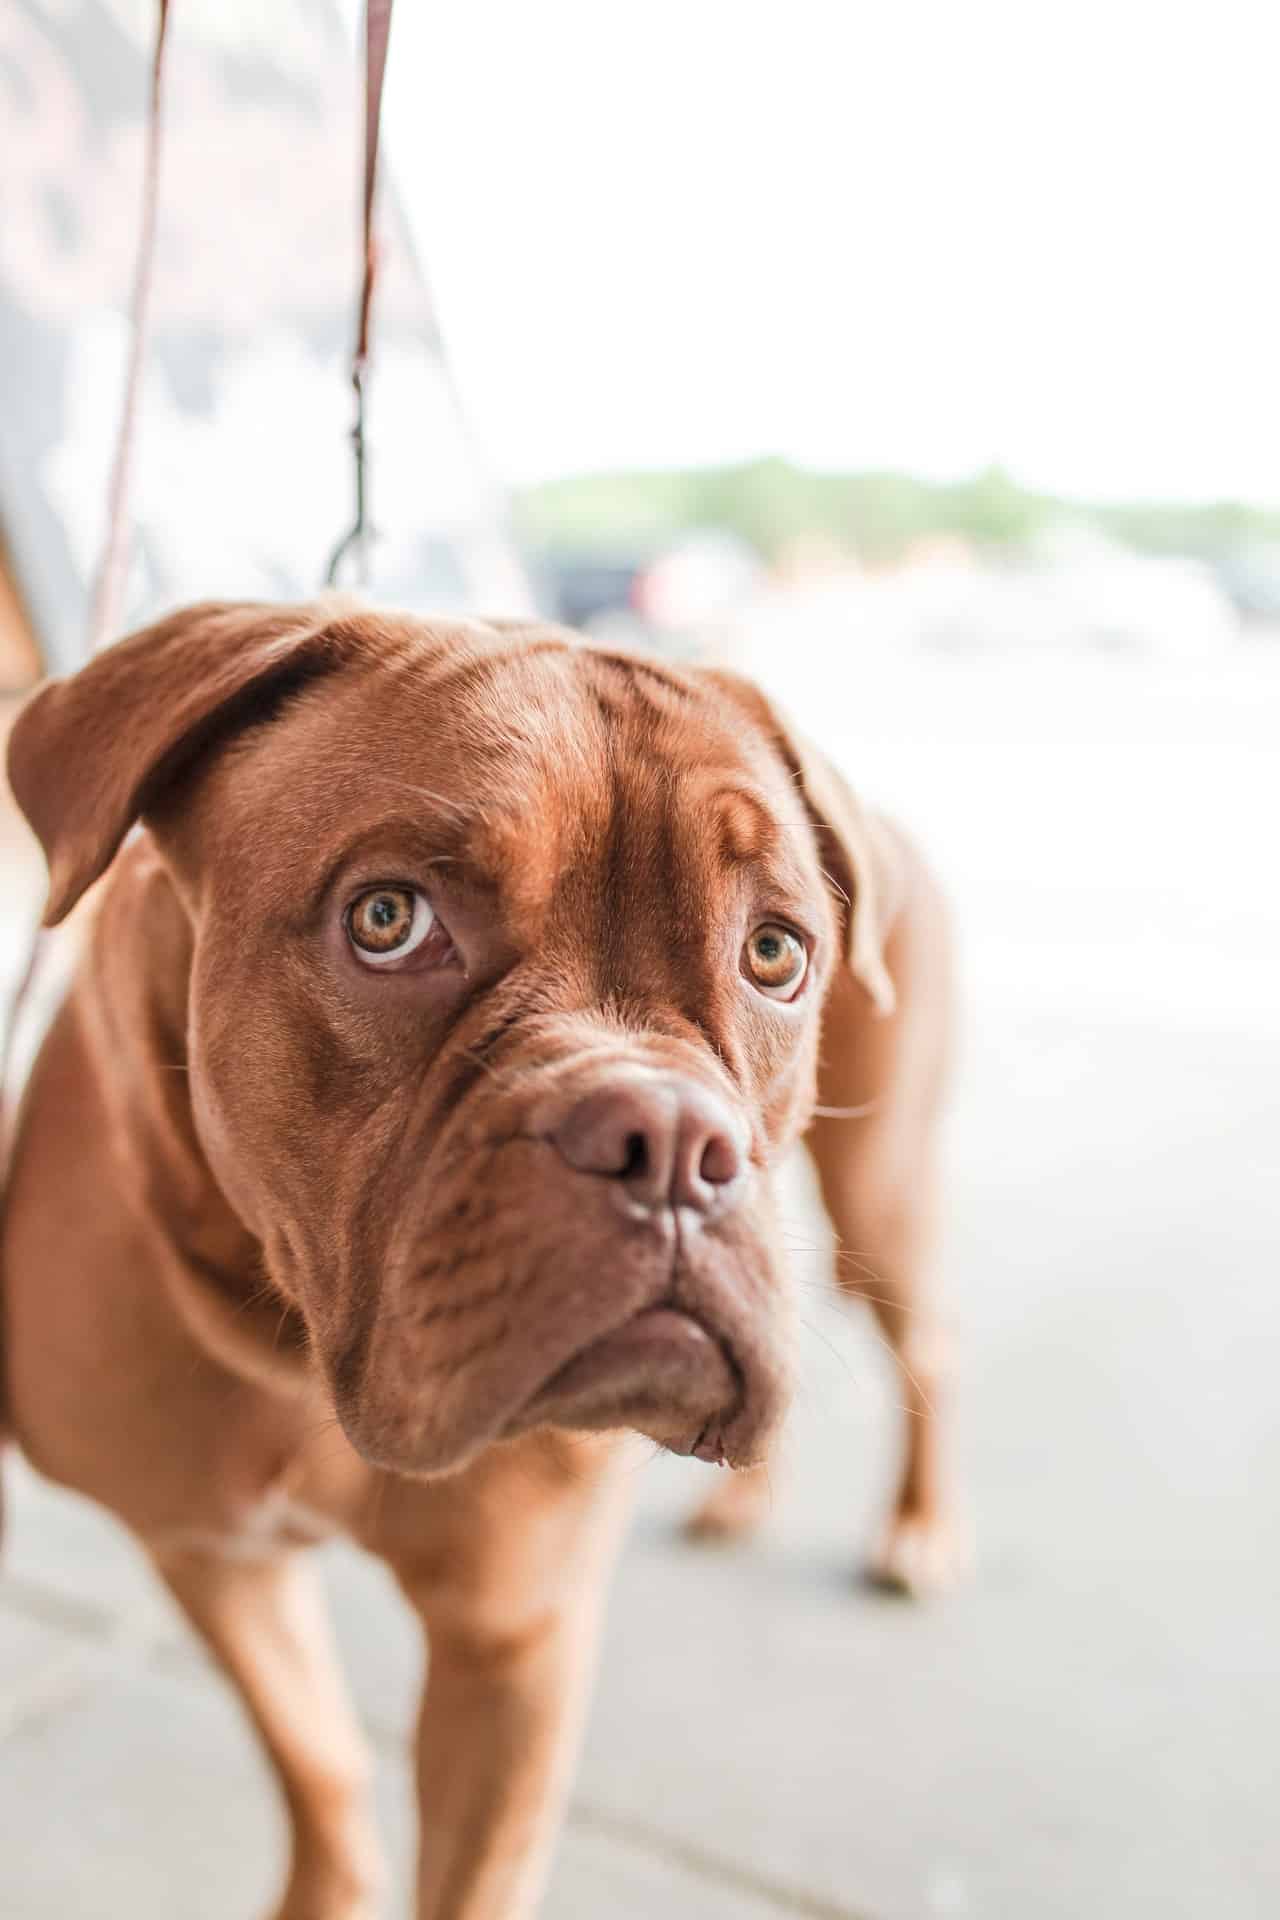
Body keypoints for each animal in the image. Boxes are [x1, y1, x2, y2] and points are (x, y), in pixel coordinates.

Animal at [0, 602, 955, 1920]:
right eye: (387, 920)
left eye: (774, 953)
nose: (668, 1141)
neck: (299, 1359)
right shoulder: (210, 1551)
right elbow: (320, 1757)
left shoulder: (509, 1642)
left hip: (879, 1201)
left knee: (930, 1348)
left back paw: (915, 1531)